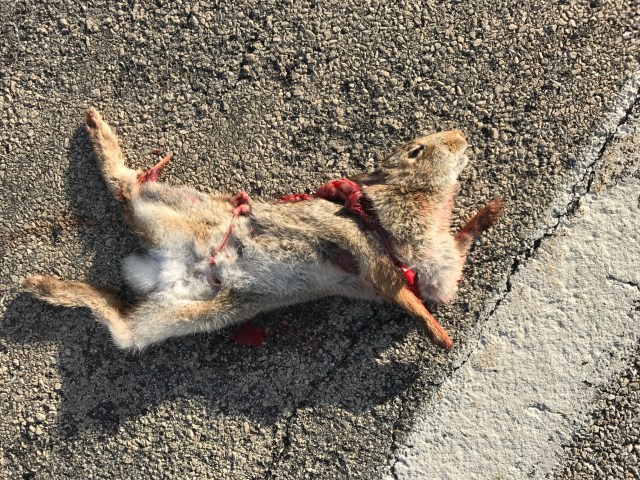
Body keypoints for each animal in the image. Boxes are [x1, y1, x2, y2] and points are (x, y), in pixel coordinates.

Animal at [22, 108, 503, 351]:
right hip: (171, 205)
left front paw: (491, 211)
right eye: (416, 151)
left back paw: (44, 286)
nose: (461, 136)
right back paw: (97, 131)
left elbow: (450, 259)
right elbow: (407, 297)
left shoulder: (431, 268)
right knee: (126, 187)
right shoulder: (367, 252)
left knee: (123, 328)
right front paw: (440, 336)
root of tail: (165, 267)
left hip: (187, 314)